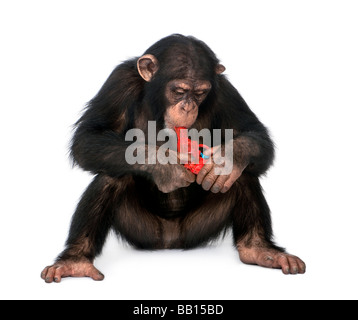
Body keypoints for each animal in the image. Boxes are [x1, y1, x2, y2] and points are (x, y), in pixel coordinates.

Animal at [41, 33, 304, 282]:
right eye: (179, 91)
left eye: (201, 93)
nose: (188, 106)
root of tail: (171, 242)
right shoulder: (119, 82)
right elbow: (88, 136)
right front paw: (165, 166)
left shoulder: (224, 91)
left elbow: (253, 132)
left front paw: (225, 160)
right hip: (143, 231)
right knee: (110, 176)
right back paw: (75, 262)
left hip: (198, 228)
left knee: (243, 174)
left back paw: (259, 249)